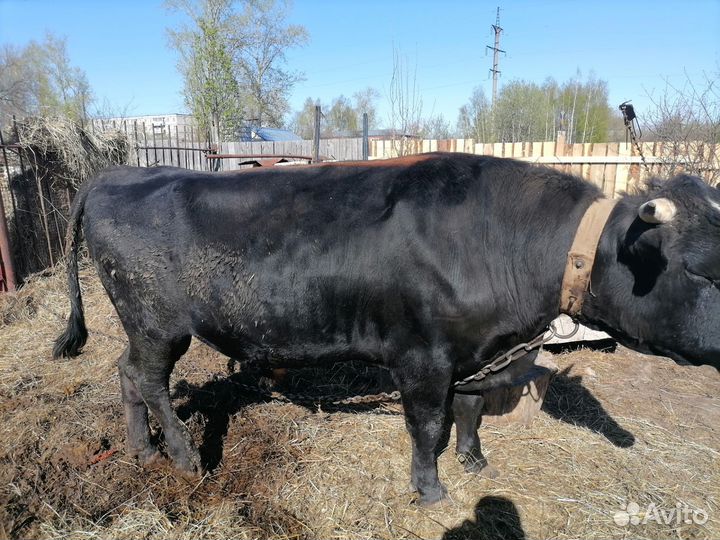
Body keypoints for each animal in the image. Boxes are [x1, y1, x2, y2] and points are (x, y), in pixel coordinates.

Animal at [53, 153, 720, 505]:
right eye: (698, 268)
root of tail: (118, 173)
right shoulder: (421, 358)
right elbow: (427, 425)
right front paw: (430, 490)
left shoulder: (473, 351)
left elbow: (469, 410)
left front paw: (473, 462)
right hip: (159, 324)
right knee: (151, 381)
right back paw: (184, 456)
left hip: (141, 326)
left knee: (127, 374)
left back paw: (141, 450)